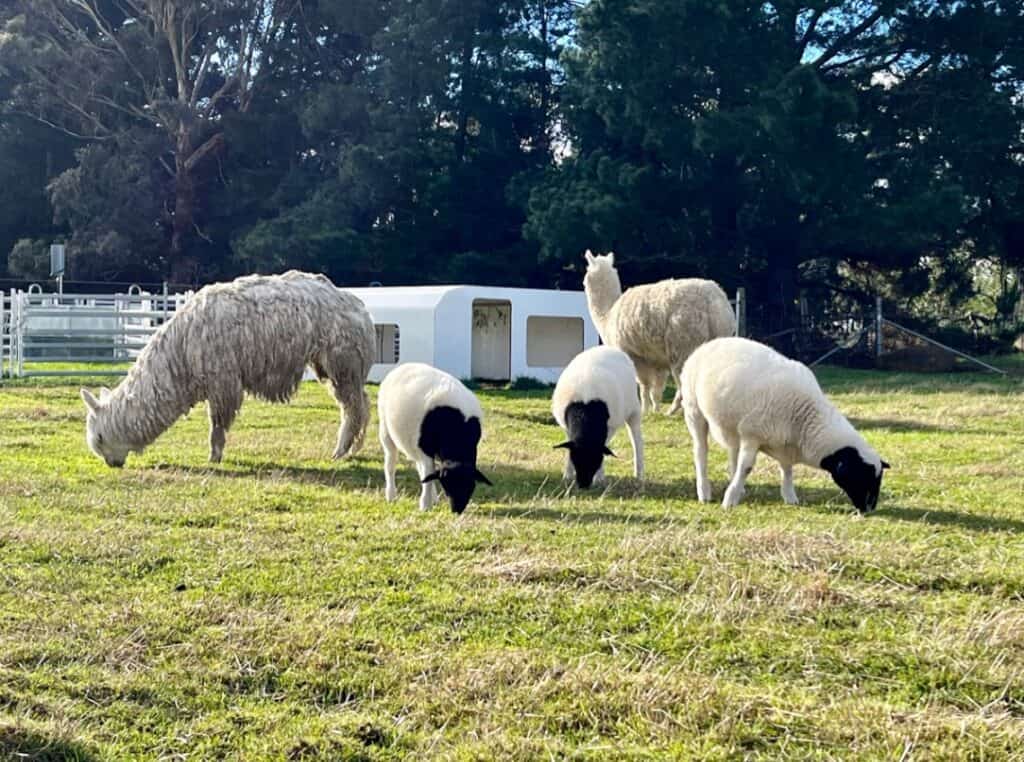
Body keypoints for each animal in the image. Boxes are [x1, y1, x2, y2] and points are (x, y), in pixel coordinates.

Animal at [78, 270, 376, 467]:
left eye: (100, 438)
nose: (112, 463)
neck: (180, 355)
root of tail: (359, 306)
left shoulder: (222, 379)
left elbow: (217, 424)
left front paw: (214, 457)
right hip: (338, 365)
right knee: (362, 403)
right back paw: (353, 449)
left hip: (343, 361)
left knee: (352, 408)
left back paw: (339, 451)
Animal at [376, 362, 491, 514]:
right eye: (447, 486)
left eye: (471, 486)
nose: (457, 510)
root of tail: (402, 366)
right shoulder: (425, 448)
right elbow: (429, 474)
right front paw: (425, 505)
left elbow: (429, 474)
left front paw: (429, 500)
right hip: (386, 429)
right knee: (391, 463)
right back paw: (391, 495)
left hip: (413, 443)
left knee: (421, 469)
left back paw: (433, 498)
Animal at [552, 346, 638, 487]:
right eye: (575, 459)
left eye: (595, 460)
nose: (583, 485)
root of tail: (608, 347)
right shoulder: (567, 428)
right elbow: (569, 446)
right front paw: (567, 475)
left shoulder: (609, 428)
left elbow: (604, 447)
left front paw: (599, 478)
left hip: (634, 410)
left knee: (637, 440)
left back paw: (639, 475)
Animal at [585, 249, 737, 413]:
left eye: (586, 273)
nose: (583, 282)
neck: (607, 316)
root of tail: (715, 305)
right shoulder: (656, 359)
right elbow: (656, 391)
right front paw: (655, 410)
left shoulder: (634, 355)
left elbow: (644, 386)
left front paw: (644, 411)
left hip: (683, 342)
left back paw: (673, 411)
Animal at [679, 337, 888, 512]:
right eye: (861, 475)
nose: (870, 509)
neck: (805, 418)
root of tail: (709, 343)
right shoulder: (752, 434)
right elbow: (747, 467)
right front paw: (729, 500)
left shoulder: (784, 443)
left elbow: (787, 469)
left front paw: (790, 496)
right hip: (693, 410)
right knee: (701, 451)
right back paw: (704, 492)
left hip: (732, 424)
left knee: (733, 451)